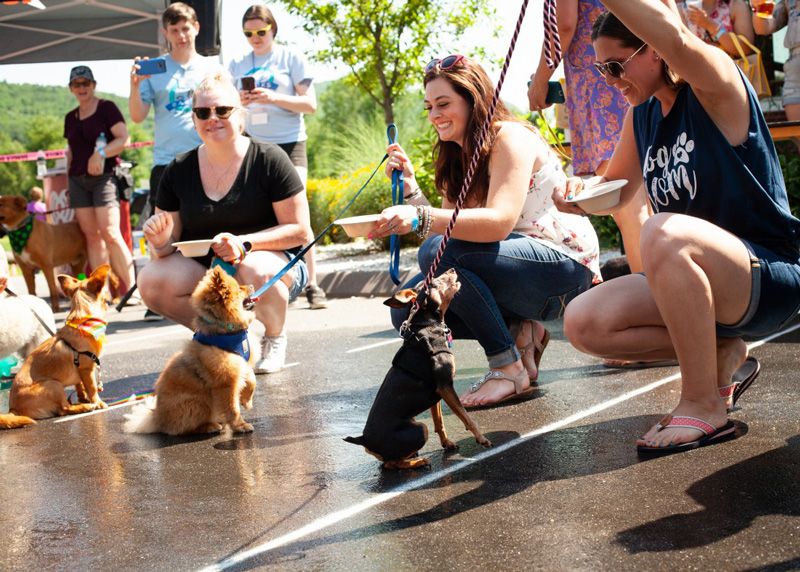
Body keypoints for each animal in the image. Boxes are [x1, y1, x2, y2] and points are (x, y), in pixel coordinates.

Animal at [0, 264, 112, 428]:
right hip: (54, 385)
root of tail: (13, 409)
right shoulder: (87, 369)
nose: (109, 302)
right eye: (104, 296)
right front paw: (97, 402)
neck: (82, 323)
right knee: (63, 409)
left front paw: (83, 397)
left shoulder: (79, 372)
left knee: (63, 408)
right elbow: (92, 388)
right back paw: (84, 407)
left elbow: (80, 386)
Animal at [122, 266, 260, 436]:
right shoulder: (226, 382)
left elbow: (252, 378)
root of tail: (157, 418)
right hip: (197, 403)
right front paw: (240, 425)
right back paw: (211, 426)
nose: (252, 285)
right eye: (239, 288)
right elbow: (232, 408)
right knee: (188, 427)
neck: (226, 331)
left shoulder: (241, 363)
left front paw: (247, 401)